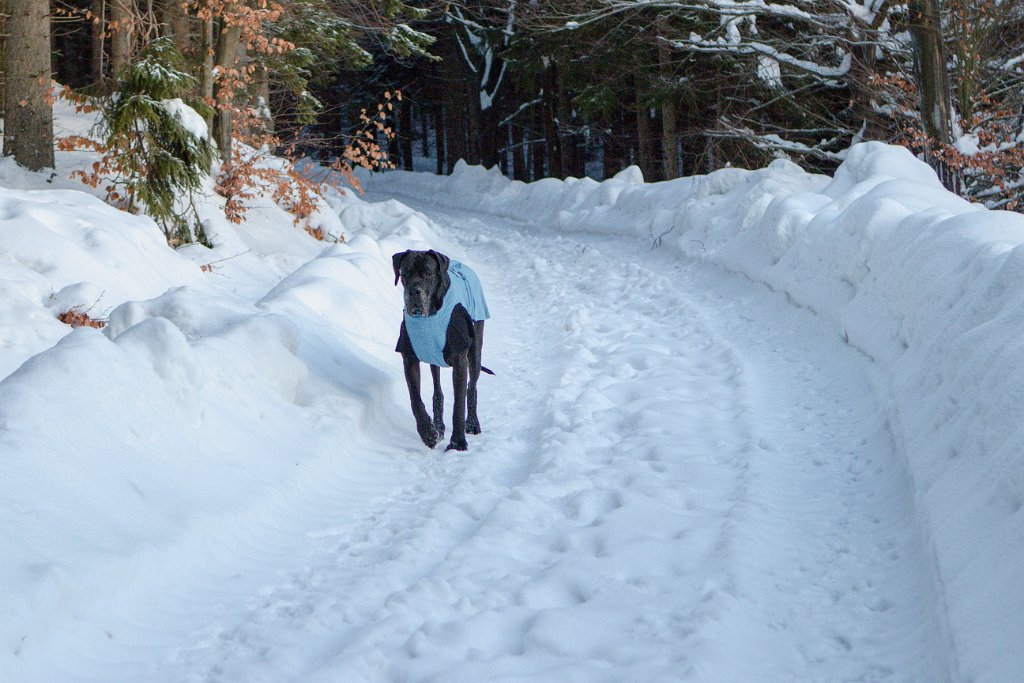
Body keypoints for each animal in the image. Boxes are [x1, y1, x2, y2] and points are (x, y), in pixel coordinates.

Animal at [391, 248, 491, 450]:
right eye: (405, 274)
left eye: (428, 274)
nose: (414, 291)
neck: (430, 314)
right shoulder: (409, 358)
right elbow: (415, 399)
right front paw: (428, 433)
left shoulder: (460, 360)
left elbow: (459, 403)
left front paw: (458, 442)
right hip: (433, 358)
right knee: (437, 391)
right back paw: (438, 426)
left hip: (475, 350)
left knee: (472, 387)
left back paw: (472, 423)